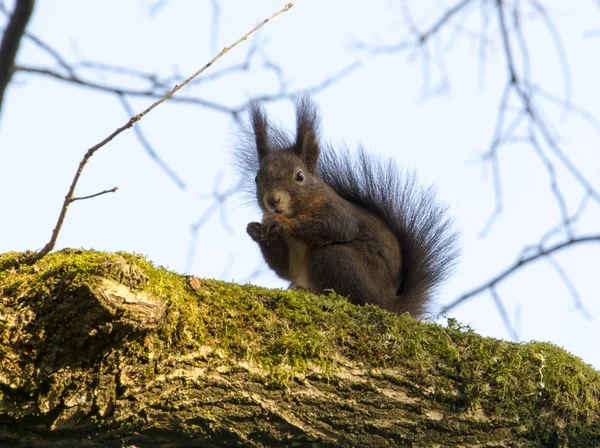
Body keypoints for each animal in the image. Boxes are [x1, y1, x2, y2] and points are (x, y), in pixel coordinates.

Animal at [234, 97, 460, 318]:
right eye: (257, 178)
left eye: (299, 176)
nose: (273, 200)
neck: (296, 211)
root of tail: (387, 304)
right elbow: (284, 269)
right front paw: (255, 230)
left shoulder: (337, 211)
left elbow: (337, 226)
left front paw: (281, 222)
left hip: (337, 260)